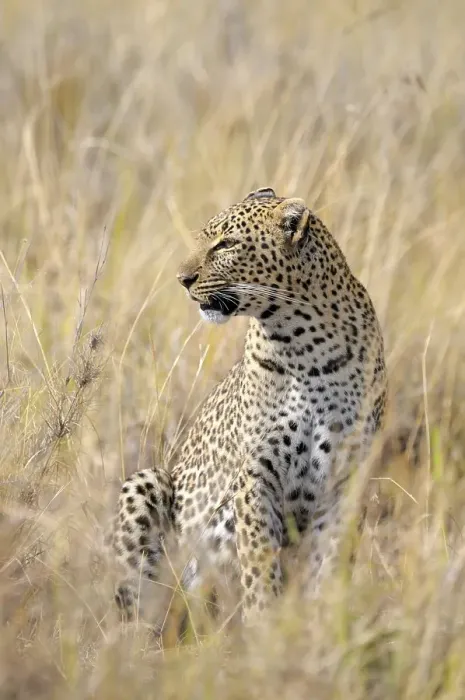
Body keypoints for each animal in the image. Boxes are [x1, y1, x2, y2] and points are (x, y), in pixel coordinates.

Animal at [110, 187, 387, 627]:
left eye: (226, 244)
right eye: (204, 238)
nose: (182, 280)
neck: (303, 345)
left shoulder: (347, 478)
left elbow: (329, 564)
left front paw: (320, 625)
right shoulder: (257, 473)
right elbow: (259, 562)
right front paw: (263, 626)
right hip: (147, 482)